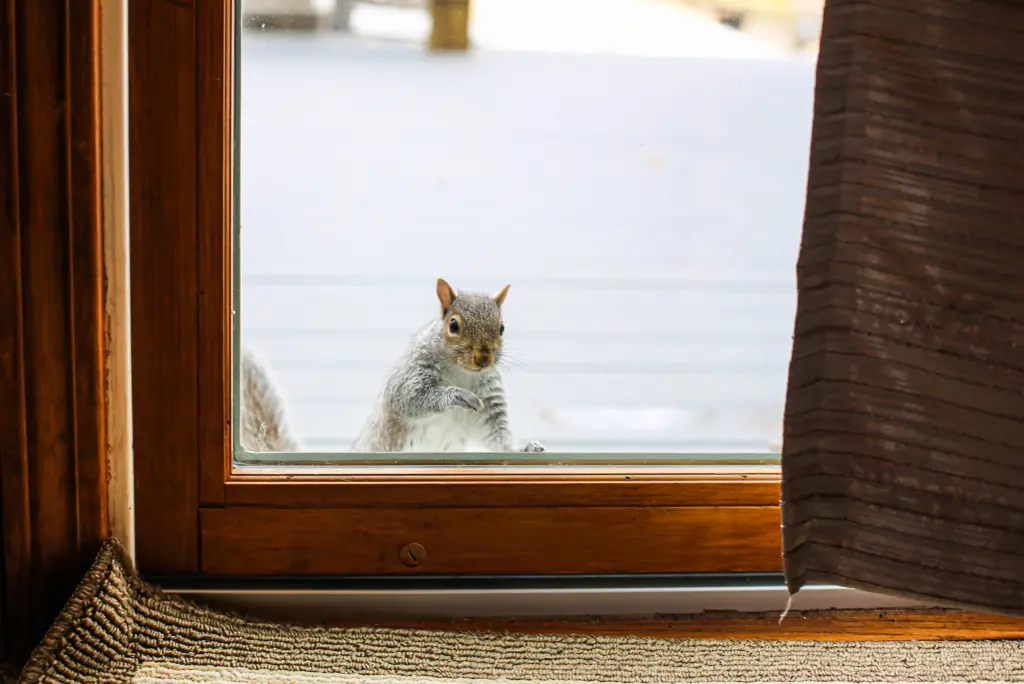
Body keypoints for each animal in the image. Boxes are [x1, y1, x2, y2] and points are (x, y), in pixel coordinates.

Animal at [351, 278, 545, 453]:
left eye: (502, 328)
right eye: (453, 325)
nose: (484, 359)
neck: (462, 372)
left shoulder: (489, 398)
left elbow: (495, 434)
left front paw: (522, 448)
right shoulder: (412, 373)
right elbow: (410, 397)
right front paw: (458, 395)